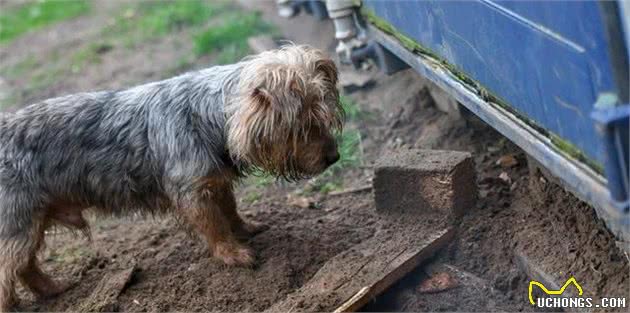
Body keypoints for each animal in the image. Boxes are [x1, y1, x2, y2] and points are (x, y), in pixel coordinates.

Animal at [0, 44, 346, 310]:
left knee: (25, 266)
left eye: (324, 118)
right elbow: (215, 225)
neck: (208, 115)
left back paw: (52, 289)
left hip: (30, 222)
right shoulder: (192, 192)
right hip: (18, 223)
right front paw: (233, 254)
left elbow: (230, 210)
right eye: (303, 127)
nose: (334, 157)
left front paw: (245, 229)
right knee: (8, 270)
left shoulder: (215, 182)